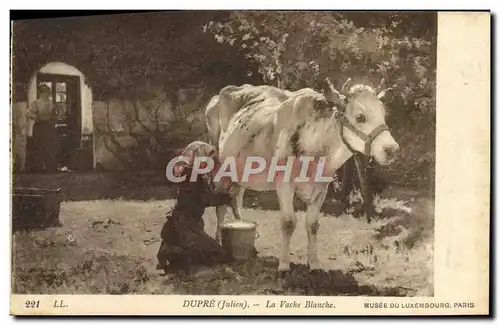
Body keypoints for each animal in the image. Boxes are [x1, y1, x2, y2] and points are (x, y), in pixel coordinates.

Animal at [203, 78, 398, 270]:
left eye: (383, 115)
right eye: (360, 117)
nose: (392, 149)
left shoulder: (321, 188)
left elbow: (313, 225)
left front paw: (314, 262)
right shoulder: (284, 184)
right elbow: (288, 223)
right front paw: (284, 264)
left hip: (241, 171)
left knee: (236, 199)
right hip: (221, 167)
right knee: (221, 205)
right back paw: (220, 240)